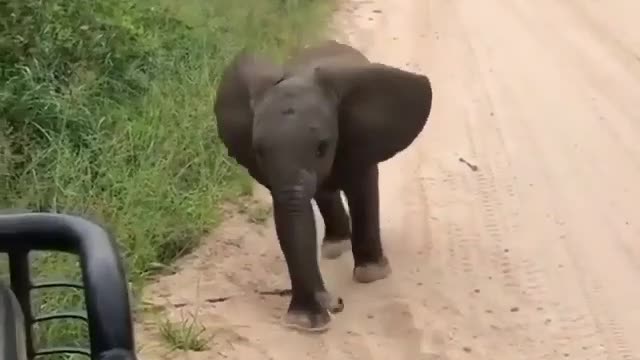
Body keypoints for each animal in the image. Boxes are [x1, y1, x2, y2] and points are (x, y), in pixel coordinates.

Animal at [212, 39, 432, 332]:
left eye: (321, 148)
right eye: (259, 152)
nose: (335, 302)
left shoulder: (359, 140)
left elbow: (362, 190)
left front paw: (372, 275)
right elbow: (289, 216)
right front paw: (306, 322)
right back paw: (335, 246)